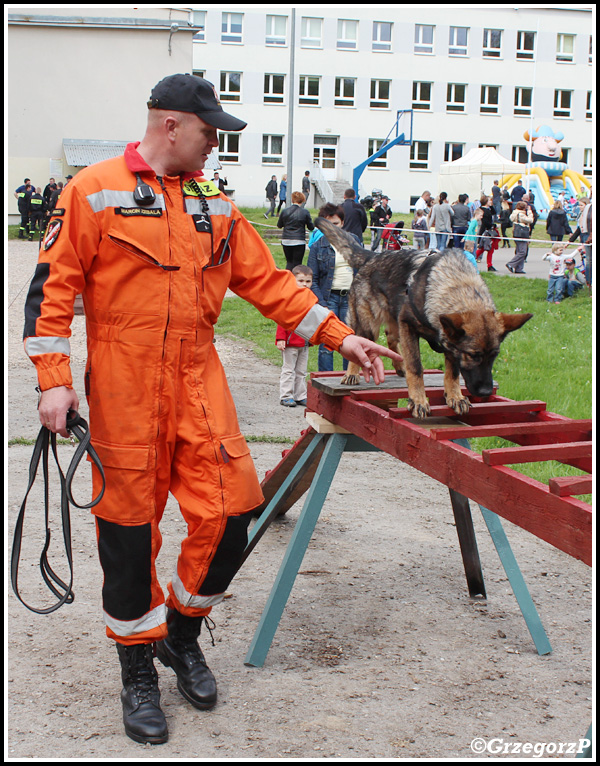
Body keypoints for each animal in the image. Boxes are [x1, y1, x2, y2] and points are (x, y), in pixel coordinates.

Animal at [316, 216, 532, 420]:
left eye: (494, 355)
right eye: (473, 355)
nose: (486, 392)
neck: (459, 287)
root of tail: (373, 256)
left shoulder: (448, 342)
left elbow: (452, 372)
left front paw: (455, 396)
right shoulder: (409, 326)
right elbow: (416, 366)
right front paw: (418, 400)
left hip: (395, 321)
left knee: (391, 340)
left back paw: (399, 365)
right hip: (370, 324)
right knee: (360, 340)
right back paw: (352, 373)